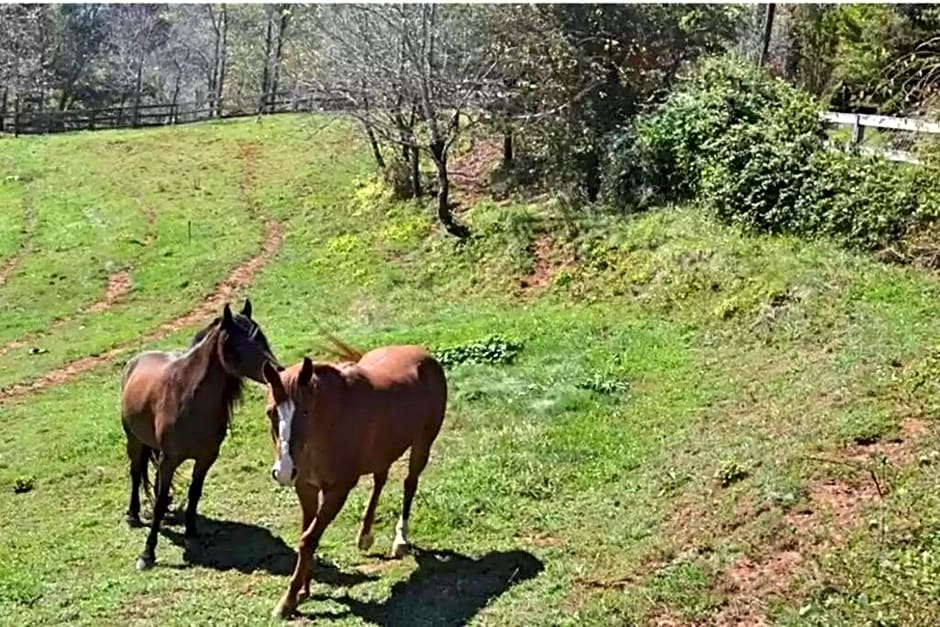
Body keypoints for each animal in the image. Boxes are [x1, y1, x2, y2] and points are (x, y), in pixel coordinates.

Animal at [119, 302, 280, 572]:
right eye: (237, 344)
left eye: (262, 339)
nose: (277, 372)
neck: (187, 398)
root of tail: (136, 360)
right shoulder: (169, 459)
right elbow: (159, 503)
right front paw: (147, 554)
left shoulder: (205, 458)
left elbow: (194, 493)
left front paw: (191, 533)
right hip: (134, 440)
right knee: (136, 472)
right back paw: (133, 514)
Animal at [258, 338, 446, 620]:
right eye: (271, 412)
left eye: (305, 412)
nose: (283, 471)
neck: (328, 423)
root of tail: (423, 354)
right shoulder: (306, 487)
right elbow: (306, 535)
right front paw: (303, 591)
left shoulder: (338, 490)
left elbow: (308, 539)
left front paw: (288, 601)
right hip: (384, 450)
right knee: (380, 480)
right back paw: (365, 536)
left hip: (422, 444)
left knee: (409, 483)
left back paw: (400, 540)